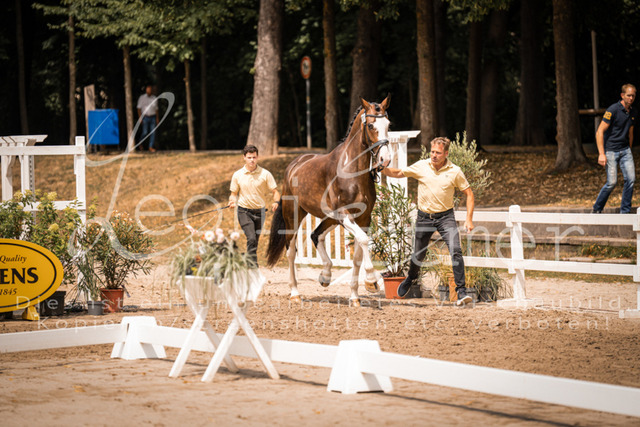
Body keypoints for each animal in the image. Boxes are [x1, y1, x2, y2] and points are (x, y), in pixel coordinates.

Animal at [266, 95, 392, 307]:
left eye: (388, 124)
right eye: (371, 125)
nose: (385, 159)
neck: (351, 171)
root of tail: (294, 165)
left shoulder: (363, 219)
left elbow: (358, 255)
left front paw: (355, 297)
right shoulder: (345, 216)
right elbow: (363, 241)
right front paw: (372, 280)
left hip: (330, 218)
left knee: (316, 235)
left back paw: (325, 275)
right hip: (294, 216)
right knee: (291, 251)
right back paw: (295, 293)